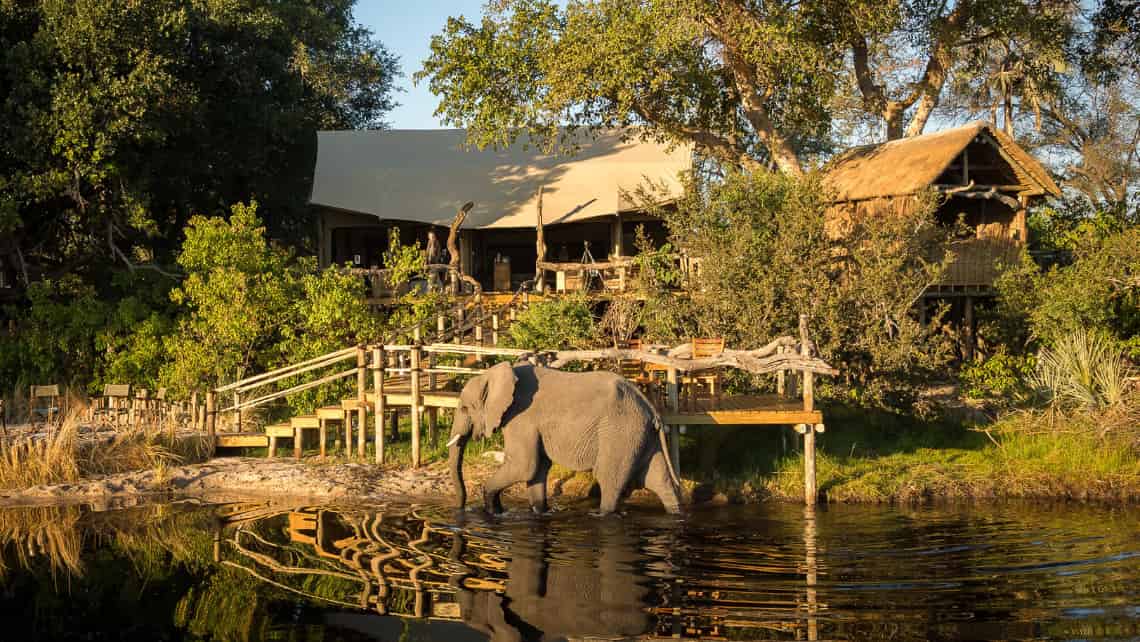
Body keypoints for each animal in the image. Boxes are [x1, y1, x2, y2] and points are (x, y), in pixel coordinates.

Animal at [442, 362, 674, 517]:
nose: (461, 508)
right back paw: (675, 512)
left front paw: (493, 511)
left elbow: (524, 466)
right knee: (660, 480)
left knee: (609, 480)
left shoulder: (521, 418)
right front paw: (539, 512)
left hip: (621, 432)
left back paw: (601, 515)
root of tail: (650, 407)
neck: (495, 375)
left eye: (465, 408)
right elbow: (537, 468)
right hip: (639, 435)